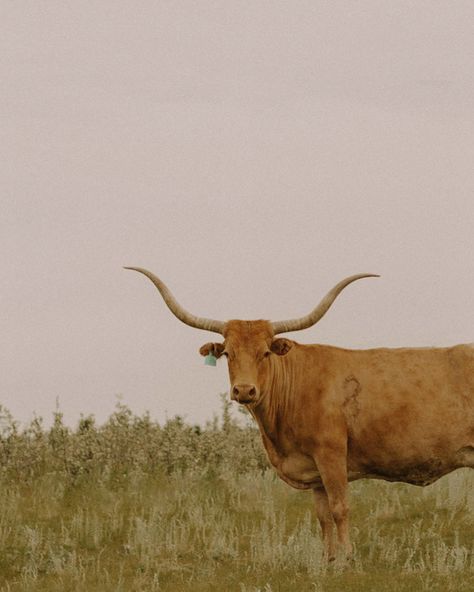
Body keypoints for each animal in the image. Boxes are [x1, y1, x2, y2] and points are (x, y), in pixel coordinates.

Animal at [125, 268, 474, 560]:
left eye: (265, 352)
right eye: (227, 353)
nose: (244, 390)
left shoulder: (331, 455)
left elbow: (339, 507)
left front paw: (347, 558)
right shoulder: (313, 468)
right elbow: (322, 515)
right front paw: (329, 559)